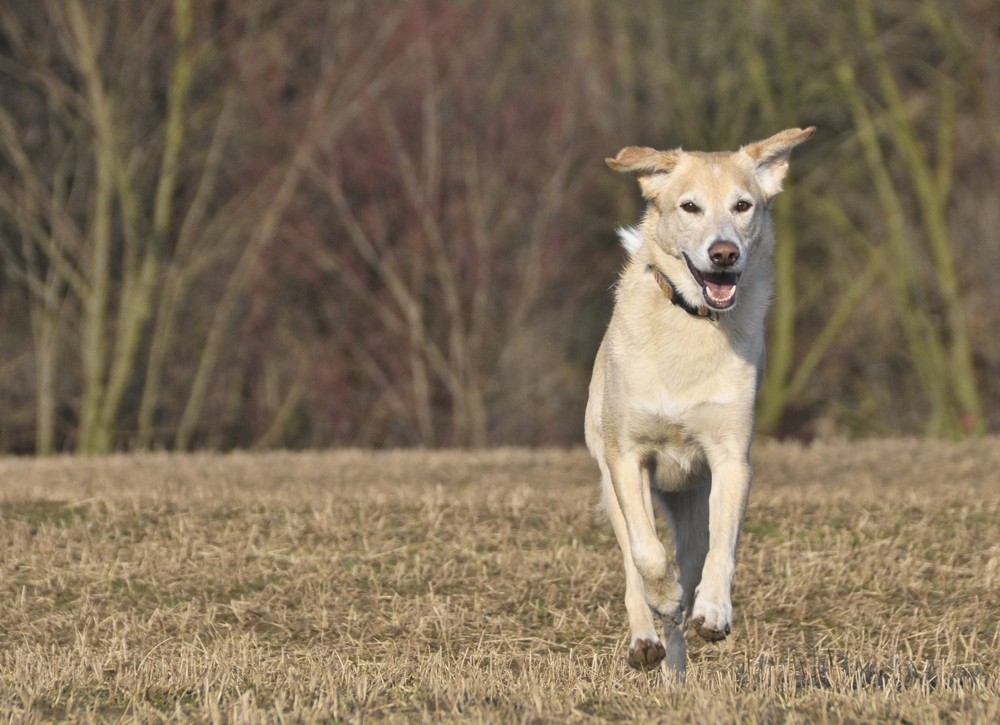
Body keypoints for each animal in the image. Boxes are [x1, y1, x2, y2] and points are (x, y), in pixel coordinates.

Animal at [584, 127, 812, 672]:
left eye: (743, 205)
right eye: (689, 206)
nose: (724, 253)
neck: (691, 320)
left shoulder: (731, 458)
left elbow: (723, 548)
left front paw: (712, 611)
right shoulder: (626, 456)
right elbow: (646, 555)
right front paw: (662, 596)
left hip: (693, 507)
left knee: (692, 564)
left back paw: (677, 664)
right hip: (613, 485)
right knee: (633, 562)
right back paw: (646, 638)